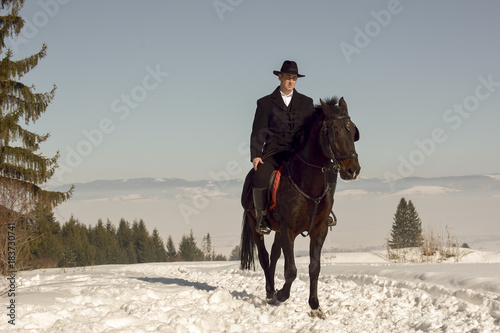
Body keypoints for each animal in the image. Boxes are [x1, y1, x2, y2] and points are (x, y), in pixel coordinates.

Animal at [239, 95, 360, 316]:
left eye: (352, 130)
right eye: (334, 131)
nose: (352, 170)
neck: (308, 181)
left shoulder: (319, 230)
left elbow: (314, 267)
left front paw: (315, 305)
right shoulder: (289, 229)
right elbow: (291, 270)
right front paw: (281, 294)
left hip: (278, 230)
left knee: (274, 256)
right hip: (255, 224)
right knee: (264, 256)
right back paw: (270, 292)